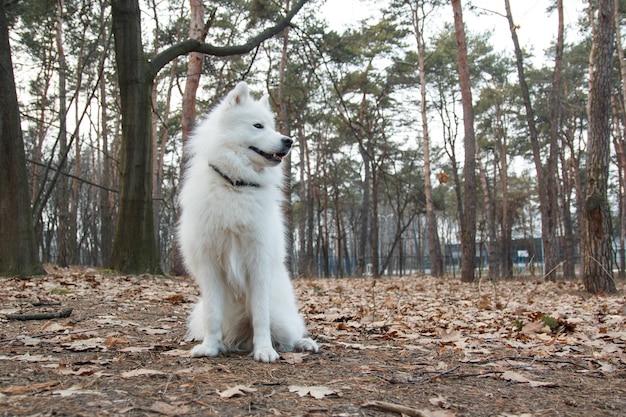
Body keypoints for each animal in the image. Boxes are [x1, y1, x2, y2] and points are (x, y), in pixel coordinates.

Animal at [178, 80, 320, 360]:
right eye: (258, 126)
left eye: (273, 126)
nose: (288, 140)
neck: (236, 184)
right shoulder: (209, 265)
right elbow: (213, 315)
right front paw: (209, 347)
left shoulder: (258, 263)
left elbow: (261, 317)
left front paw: (264, 350)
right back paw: (224, 344)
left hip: (281, 317)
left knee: (289, 336)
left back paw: (303, 343)